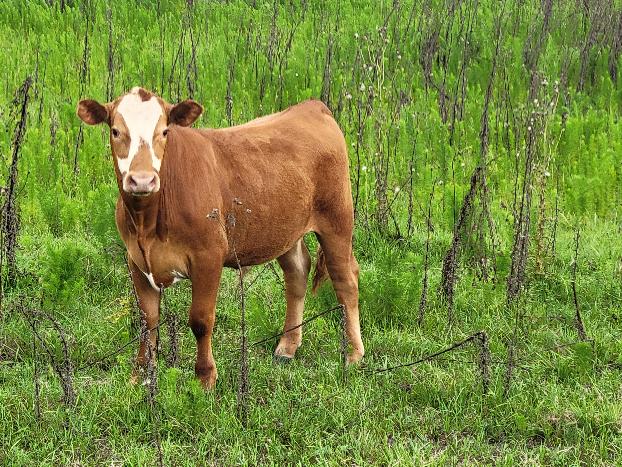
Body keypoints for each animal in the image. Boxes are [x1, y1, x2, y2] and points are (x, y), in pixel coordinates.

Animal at [77, 87, 366, 388]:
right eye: (115, 131)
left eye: (165, 131)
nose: (142, 180)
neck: (148, 222)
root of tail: (311, 107)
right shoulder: (136, 258)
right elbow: (148, 319)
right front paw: (141, 375)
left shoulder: (208, 256)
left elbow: (201, 320)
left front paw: (205, 378)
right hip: (285, 228)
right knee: (297, 273)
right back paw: (287, 347)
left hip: (337, 219)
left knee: (346, 279)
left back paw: (354, 355)